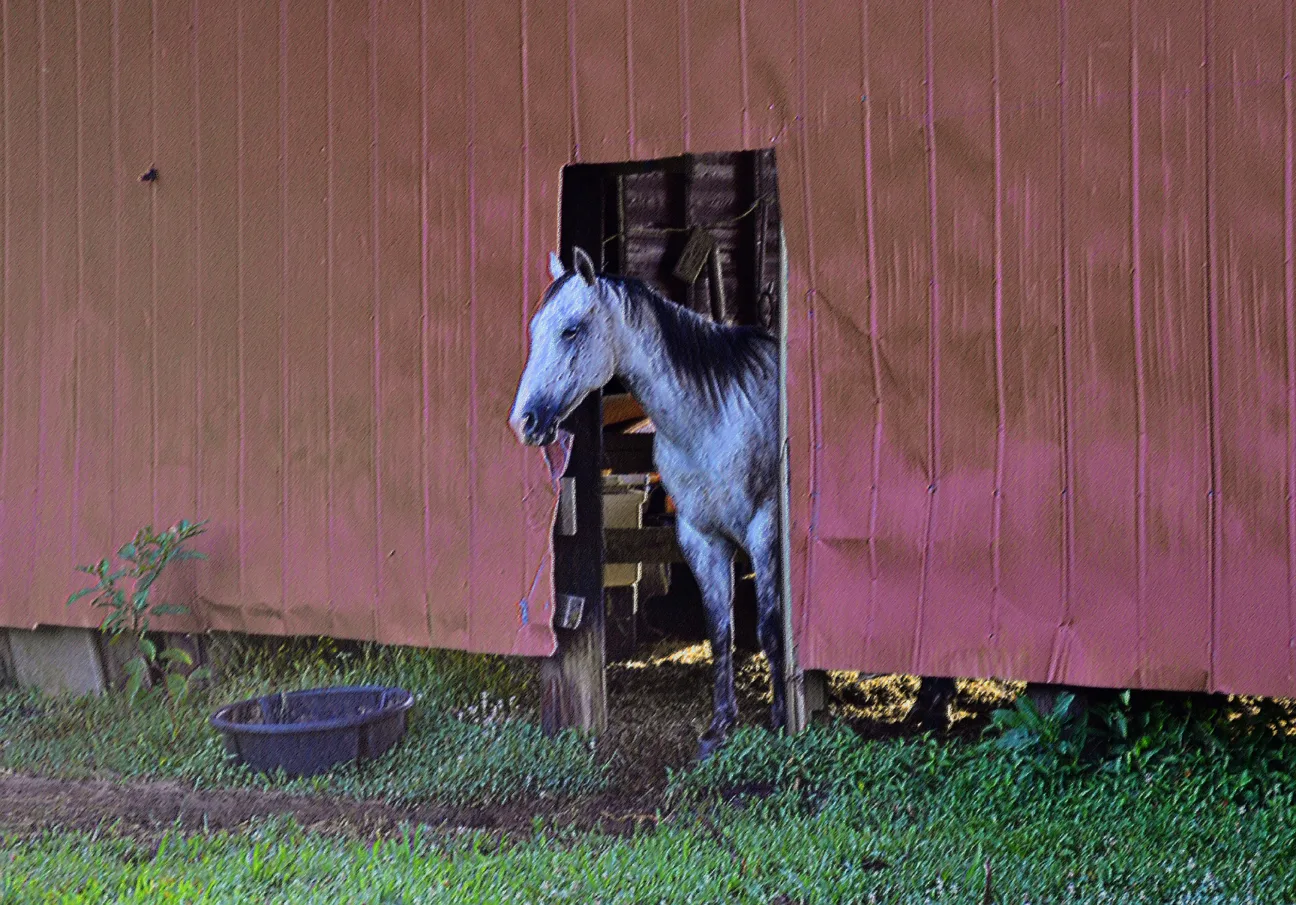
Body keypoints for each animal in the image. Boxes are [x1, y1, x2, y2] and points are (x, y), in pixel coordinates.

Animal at [509, 246, 785, 759]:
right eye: (535, 329)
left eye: (571, 329)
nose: (525, 422)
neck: (715, 417)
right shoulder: (700, 537)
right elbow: (720, 629)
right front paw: (719, 726)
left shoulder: (765, 531)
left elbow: (771, 627)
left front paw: (779, 720)